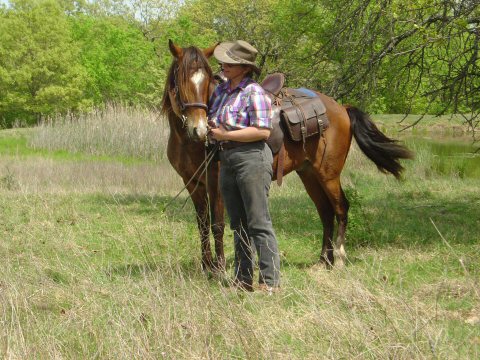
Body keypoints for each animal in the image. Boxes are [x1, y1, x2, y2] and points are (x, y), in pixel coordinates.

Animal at [162, 40, 412, 270]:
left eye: (206, 80)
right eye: (181, 79)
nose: (200, 130)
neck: (189, 143)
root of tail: (341, 108)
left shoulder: (216, 182)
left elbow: (217, 225)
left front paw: (219, 268)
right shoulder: (193, 183)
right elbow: (202, 224)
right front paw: (207, 266)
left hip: (328, 174)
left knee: (341, 208)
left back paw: (339, 258)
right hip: (309, 174)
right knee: (325, 211)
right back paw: (324, 260)